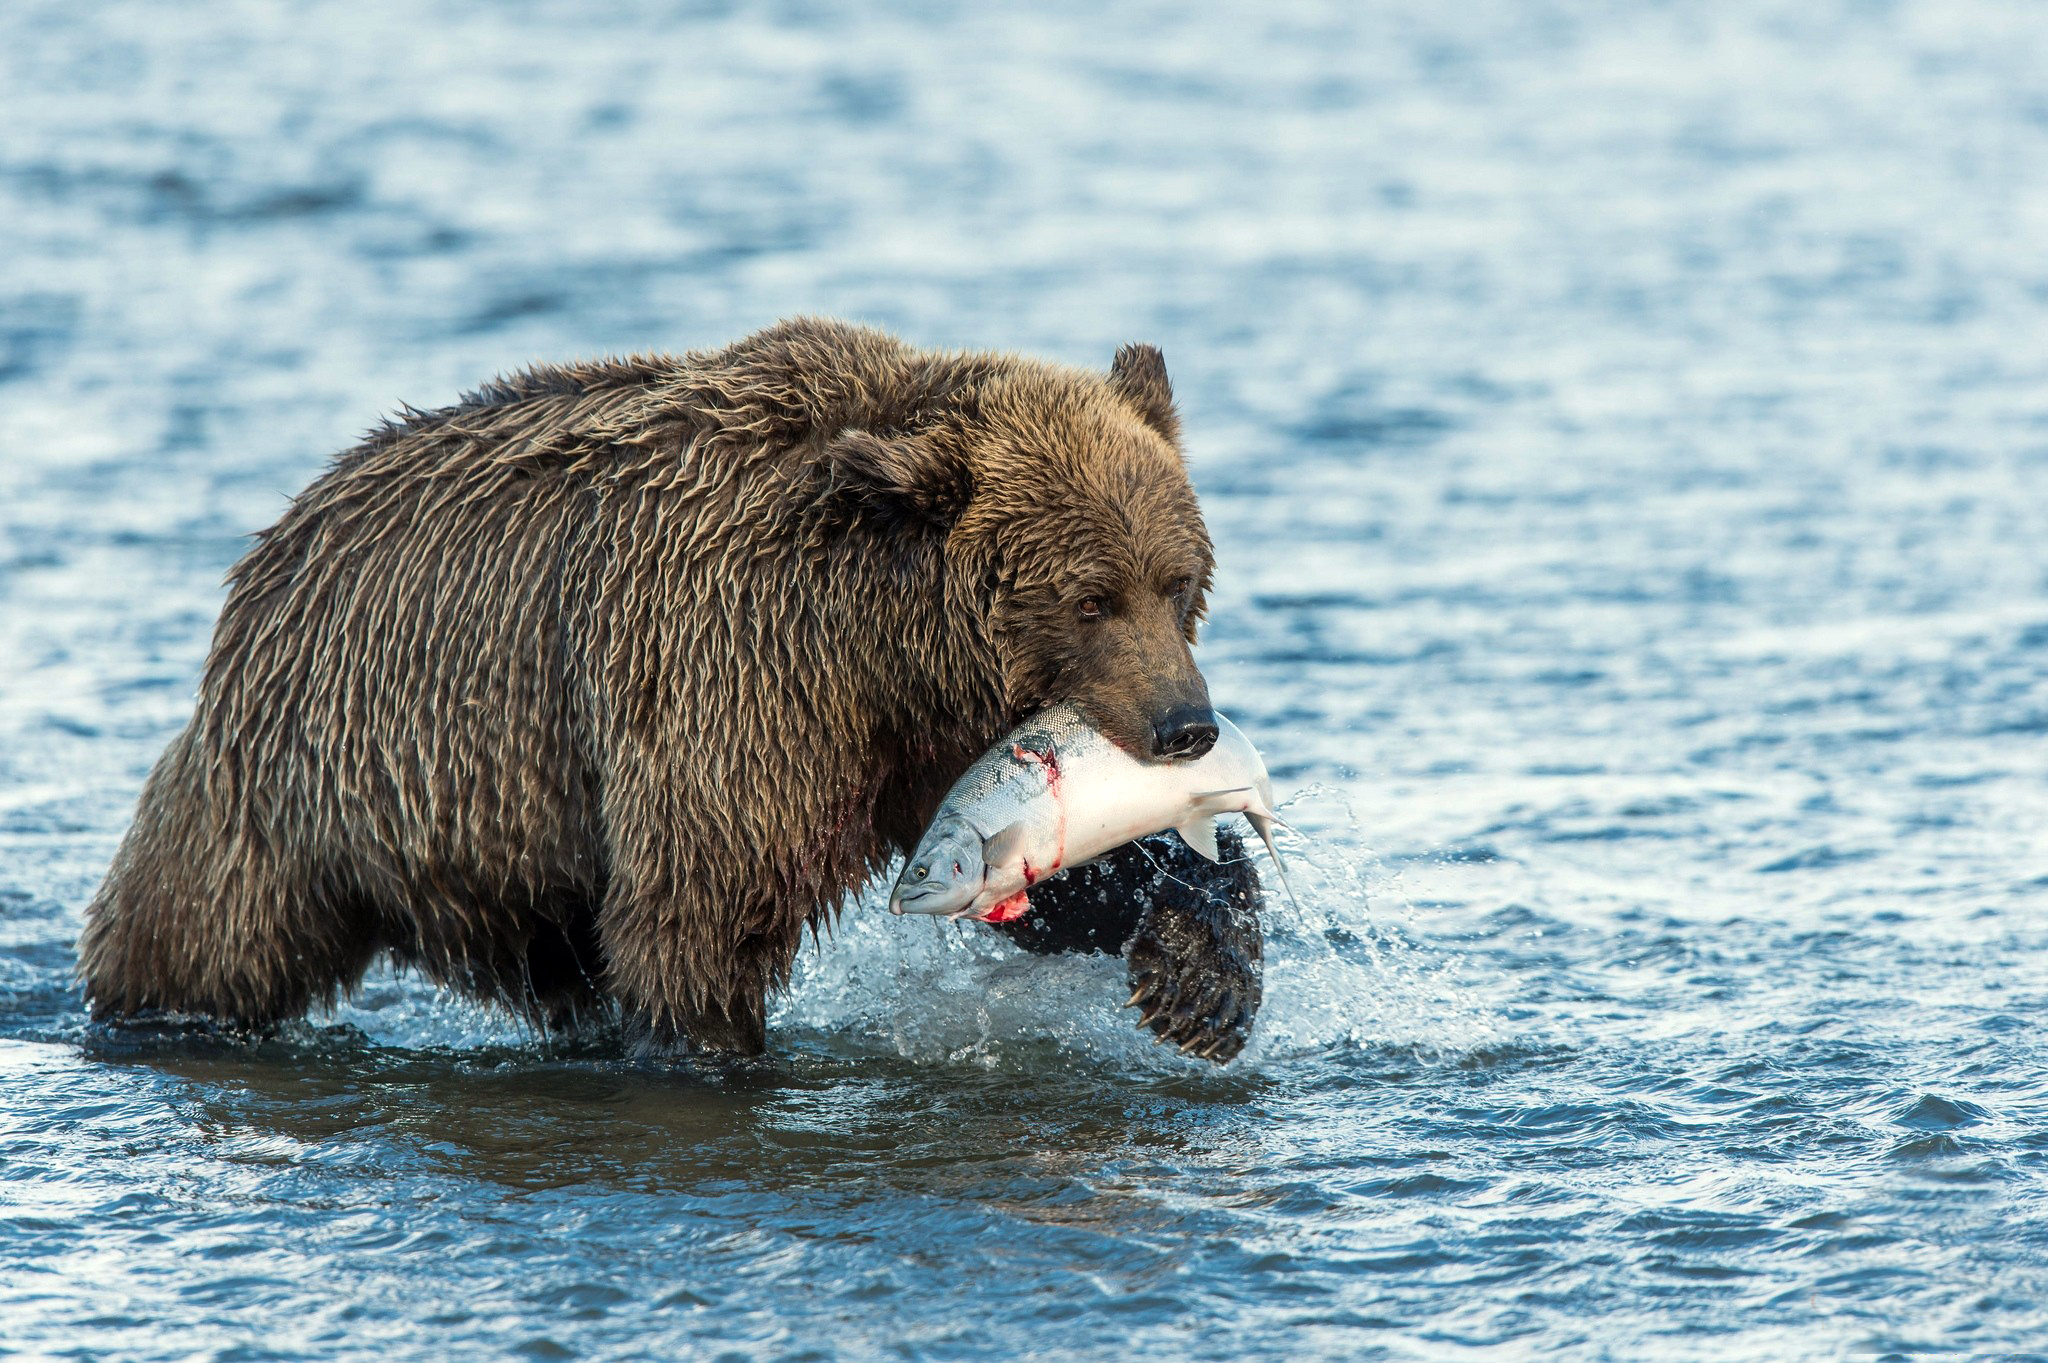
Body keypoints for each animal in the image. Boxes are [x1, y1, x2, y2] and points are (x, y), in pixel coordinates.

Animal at [79, 321, 1253, 1064]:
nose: (1185, 725)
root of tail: (275, 543)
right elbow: (701, 914)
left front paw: (1197, 974)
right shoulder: (726, 677)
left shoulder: (910, 744)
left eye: (1175, 579)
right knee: (202, 931)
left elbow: (1051, 877)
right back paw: (148, 1011)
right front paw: (715, 1045)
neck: (879, 641)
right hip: (313, 778)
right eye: (1089, 597)